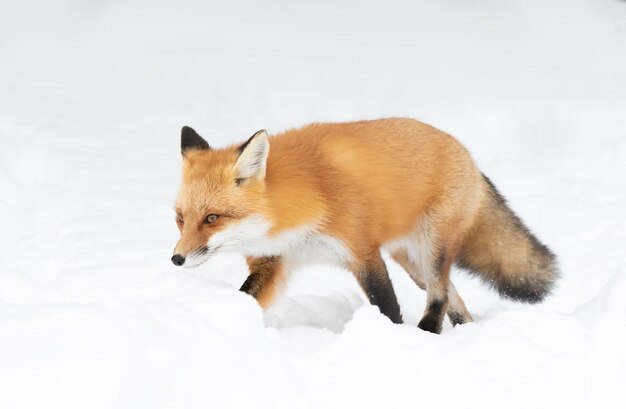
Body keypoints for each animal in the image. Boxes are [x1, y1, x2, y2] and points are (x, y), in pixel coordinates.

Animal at [171, 117, 556, 332]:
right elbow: (247, 297)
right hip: (411, 261)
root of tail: (466, 153)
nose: (176, 259)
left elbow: (386, 306)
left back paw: (426, 333)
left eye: (212, 218)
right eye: (180, 219)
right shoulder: (275, 261)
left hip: (431, 248)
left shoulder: (361, 251)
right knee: (454, 299)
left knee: (439, 295)